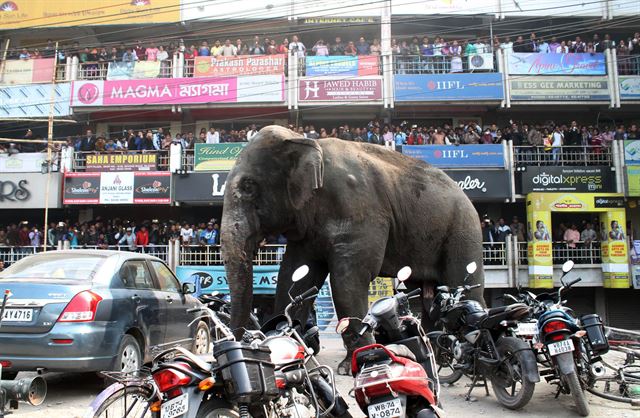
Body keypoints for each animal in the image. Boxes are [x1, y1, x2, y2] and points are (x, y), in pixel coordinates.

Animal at [220, 125, 484, 372]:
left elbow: (347, 280)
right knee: (428, 298)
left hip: (464, 231)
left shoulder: (359, 209)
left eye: (248, 186)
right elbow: (294, 276)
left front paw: (354, 364)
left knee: (463, 285)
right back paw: (437, 357)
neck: (306, 141)